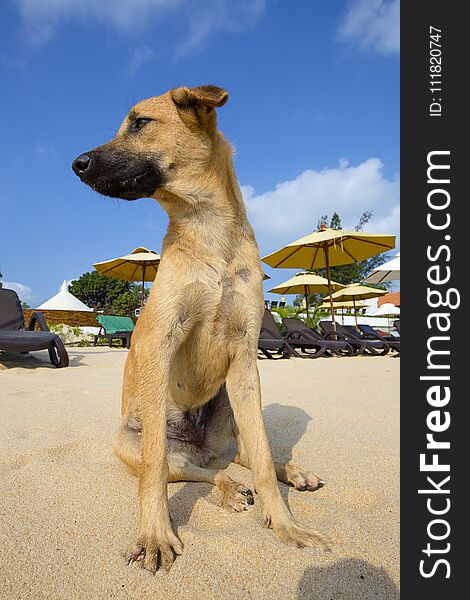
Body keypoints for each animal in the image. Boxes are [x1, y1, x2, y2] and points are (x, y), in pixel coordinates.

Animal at [71, 86, 326, 576]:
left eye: (140, 123)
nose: (76, 163)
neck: (209, 231)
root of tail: (202, 447)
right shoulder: (159, 345)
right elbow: (155, 469)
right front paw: (155, 535)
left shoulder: (245, 358)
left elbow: (262, 455)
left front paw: (287, 524)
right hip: (131, 442)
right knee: (200, 470)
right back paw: (228, 489)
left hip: (231, 404)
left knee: (246, 453)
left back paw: (291, 471)